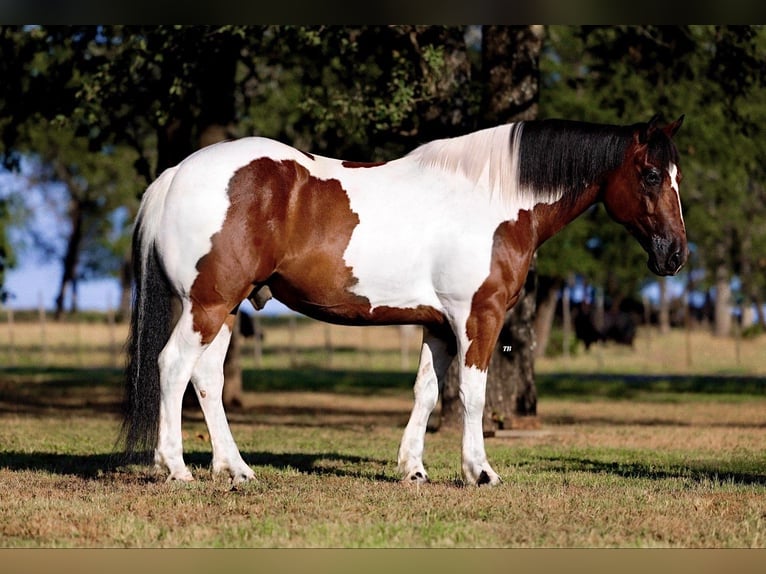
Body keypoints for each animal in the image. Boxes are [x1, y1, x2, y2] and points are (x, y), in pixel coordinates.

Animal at [121, 112, 688, 486]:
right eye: (651, 174)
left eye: (677, 176)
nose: (676, 254)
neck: (493, 200)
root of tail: (176, 174)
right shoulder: (478, 317)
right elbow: (473, 394)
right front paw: (480, 471)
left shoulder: (438, 324)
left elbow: (427, 392)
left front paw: (413, 469)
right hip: (208, 305)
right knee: (173, 366)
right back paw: (175, 468)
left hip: (224, 309)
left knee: (207, 379)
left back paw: (235, 469)